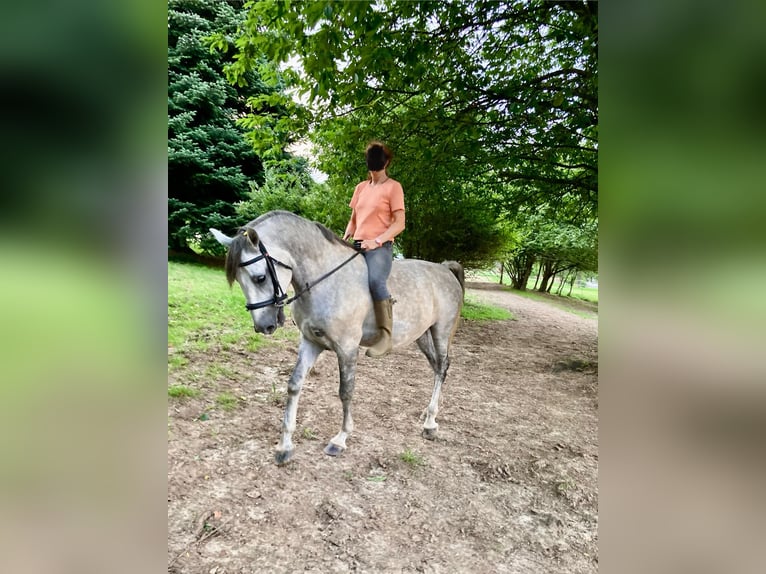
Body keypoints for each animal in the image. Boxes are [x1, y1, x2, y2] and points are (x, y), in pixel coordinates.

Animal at [210, 209, 464, 466]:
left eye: (260, 278)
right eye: (239, 280)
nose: (264, 326)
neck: (324, 281)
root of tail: (445, 269)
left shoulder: (347, 348)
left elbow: (346, 391)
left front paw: (340, 439)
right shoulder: (310, 342)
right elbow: (294, 385)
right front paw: (285, 445)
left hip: (441, 331)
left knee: (442, 367)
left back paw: (430, 423)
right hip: (421, 335)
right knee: (436, 367)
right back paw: (427, 413)